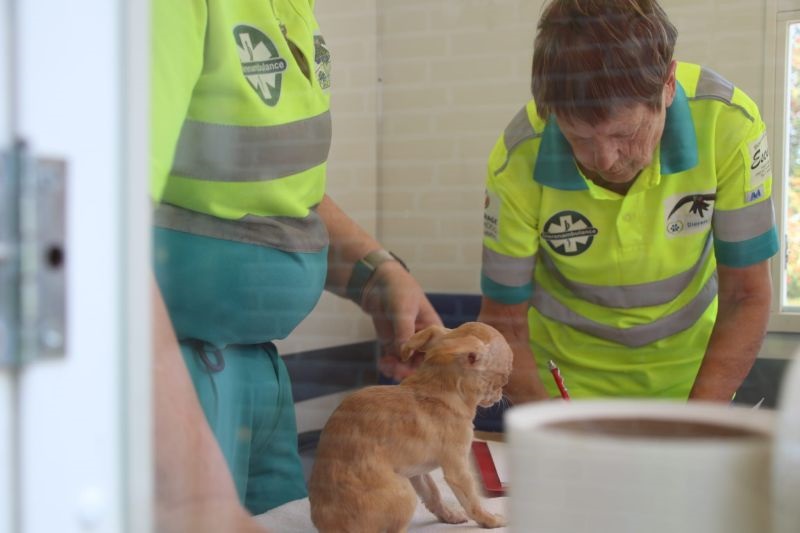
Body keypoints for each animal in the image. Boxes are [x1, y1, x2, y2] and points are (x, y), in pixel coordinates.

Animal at [308, 320, 512, 532]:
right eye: (503, 378)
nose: (501, 395)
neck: (434, 389)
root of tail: (334, 528)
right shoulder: (458, 469)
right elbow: (472, 501)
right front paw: (491, 520)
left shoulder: (417, 473)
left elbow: (433, 494)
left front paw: (450, 516)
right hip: (405, 493)